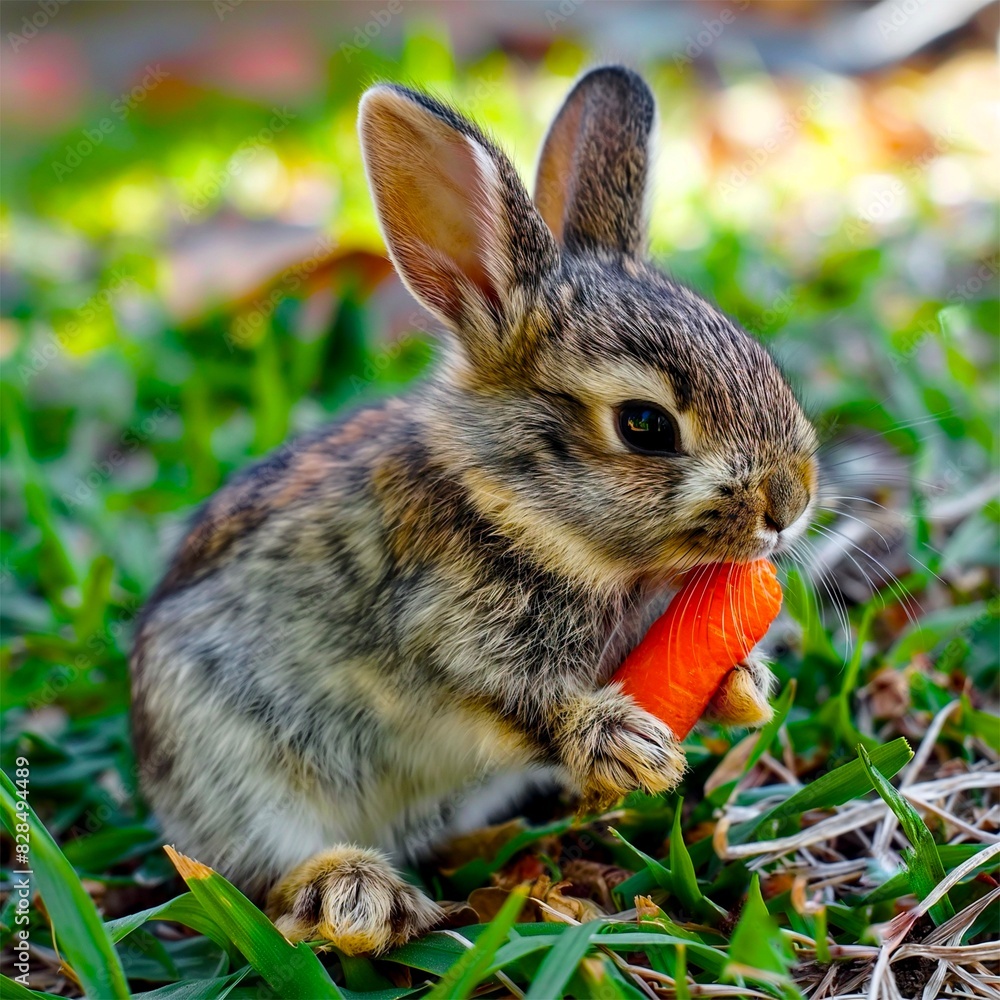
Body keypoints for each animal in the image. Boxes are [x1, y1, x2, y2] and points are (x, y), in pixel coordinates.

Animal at [130, 65, 818, 956]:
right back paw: (356, 897)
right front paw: (624, 746)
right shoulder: (450, 635)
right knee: (260, 865)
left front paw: (745, 686)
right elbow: (521, 700)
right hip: (234, 762)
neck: (522, 511)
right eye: (644, 425)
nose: (790, 504)